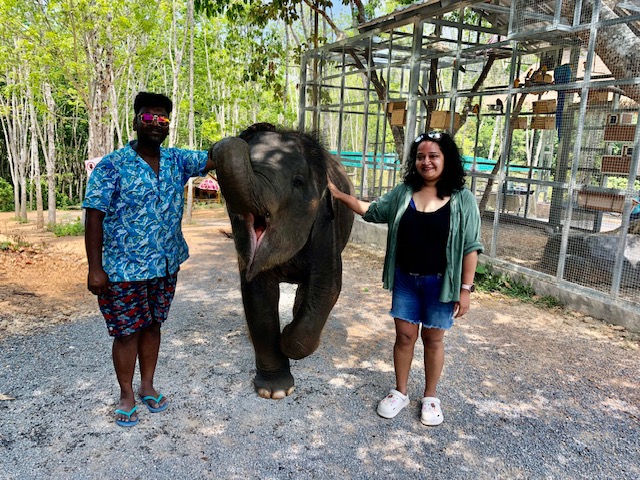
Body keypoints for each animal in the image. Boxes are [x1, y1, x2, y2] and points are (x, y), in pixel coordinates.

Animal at [211, 122, 356, 400]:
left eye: (298, 181)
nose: (217, 146)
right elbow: (257, 296)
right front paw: (275, 391)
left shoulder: (325, 225)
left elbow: (327, 286)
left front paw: (287, 334)